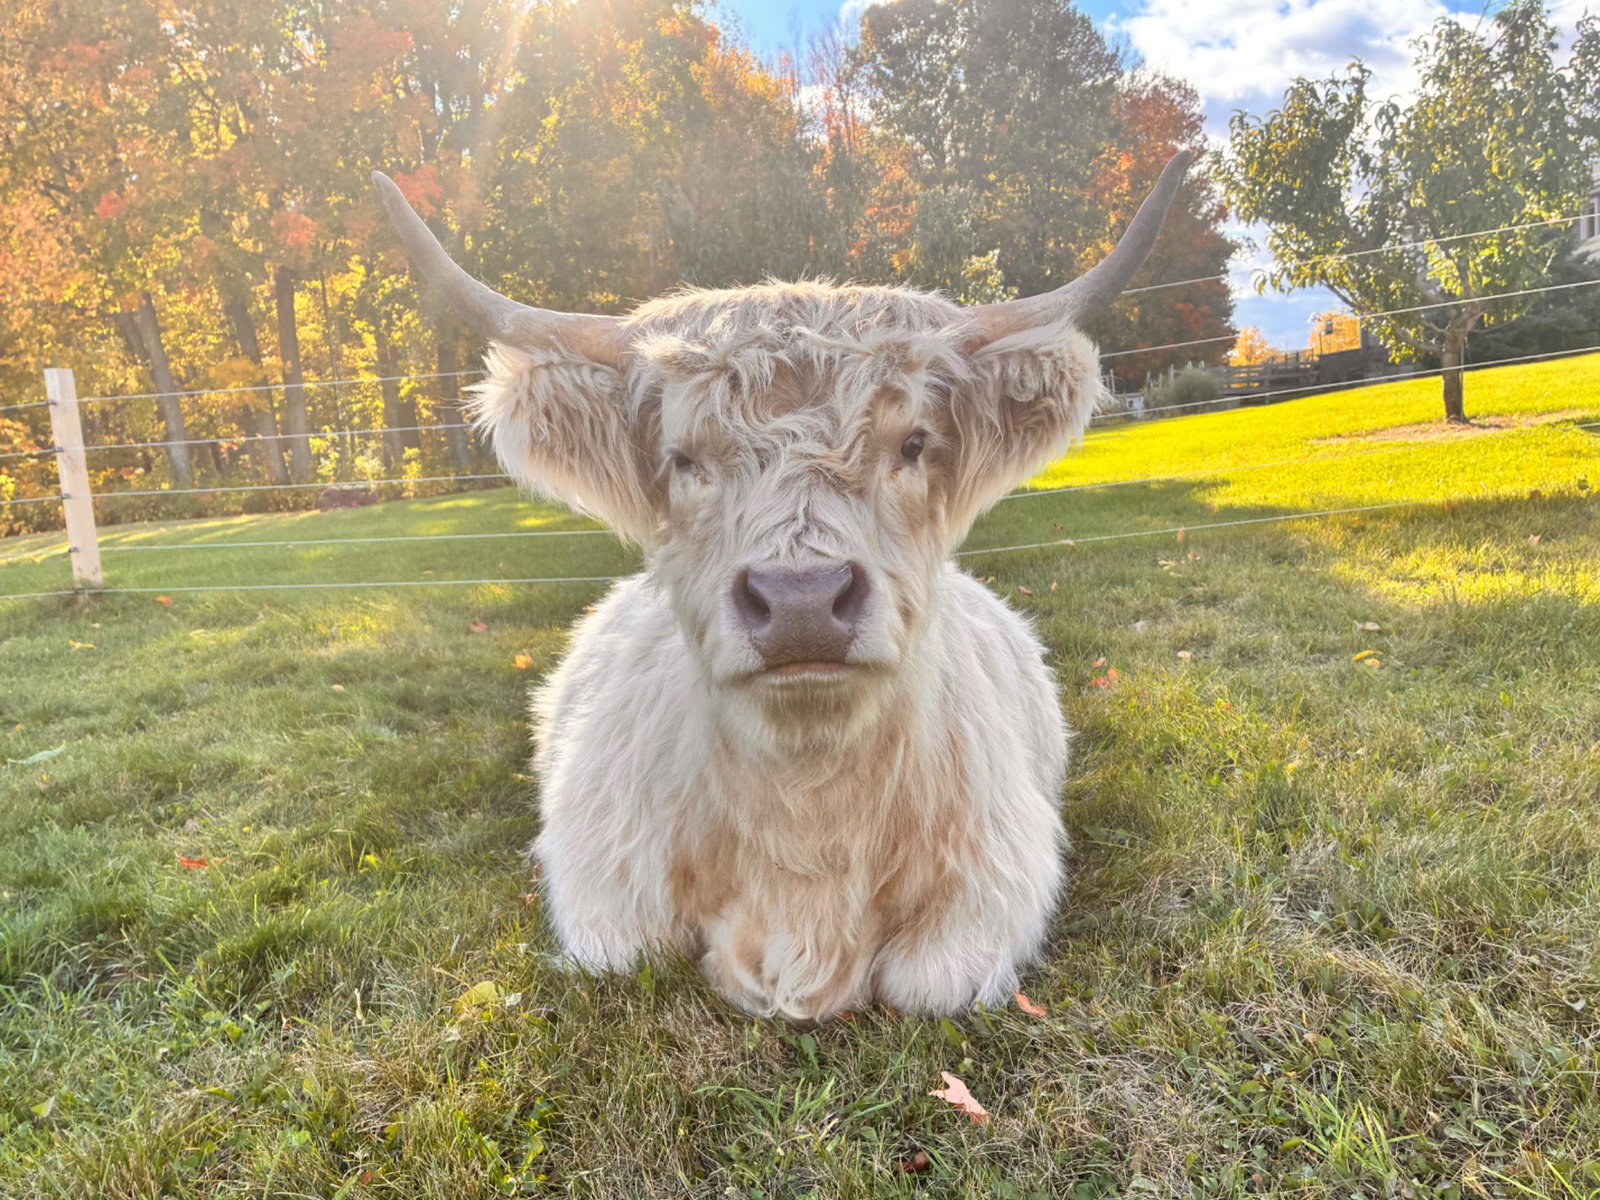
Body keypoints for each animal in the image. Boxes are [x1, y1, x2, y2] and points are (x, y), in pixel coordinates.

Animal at [374, 153, 1191, 1021]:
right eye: (684, 459)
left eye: (912, 443)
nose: (803, 602)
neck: (806, 816)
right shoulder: (605, 898)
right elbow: (629, 953)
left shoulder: (990, 887)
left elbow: (929, 983)